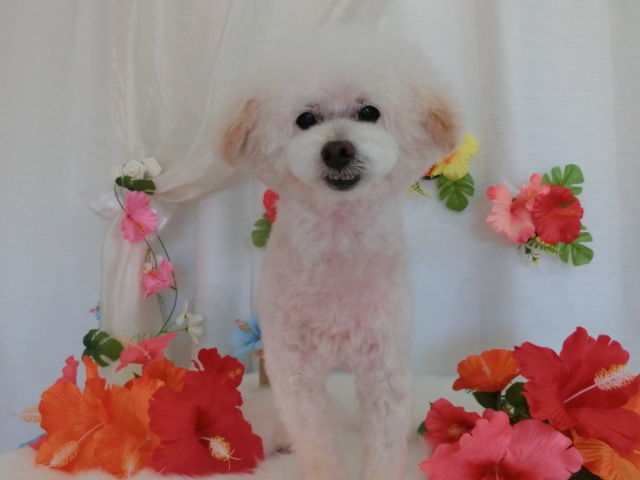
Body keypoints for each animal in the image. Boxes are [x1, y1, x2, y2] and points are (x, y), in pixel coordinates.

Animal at [216, 28, 459, 480]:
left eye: (369, 111)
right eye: (305, 119)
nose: (338, 150)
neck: (338, 238)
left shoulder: (384, 365)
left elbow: (385, 446)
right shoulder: (294, 369)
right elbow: (316, 445)